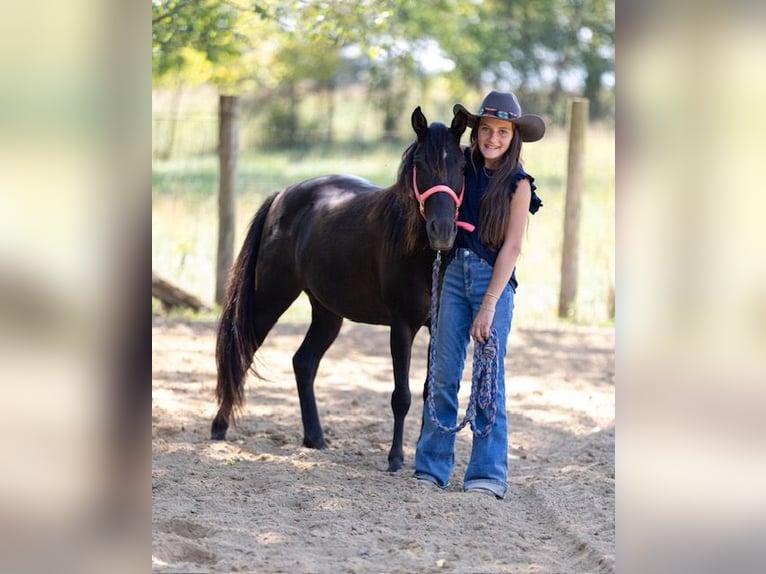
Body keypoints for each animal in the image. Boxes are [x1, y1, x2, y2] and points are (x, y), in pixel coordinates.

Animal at [211, 107, 468, 472]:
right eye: (420, 164)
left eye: (461, 165)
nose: (442, 231)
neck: (421, 254)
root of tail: (282, 196)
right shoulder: (402, 326)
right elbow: (401, 396)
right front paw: (395, 458)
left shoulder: (438, 326)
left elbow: (428, 393)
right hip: (270, 299)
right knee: (242, 353)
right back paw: (219, 427)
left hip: (327, 313)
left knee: (303, 362)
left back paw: (315, 438)